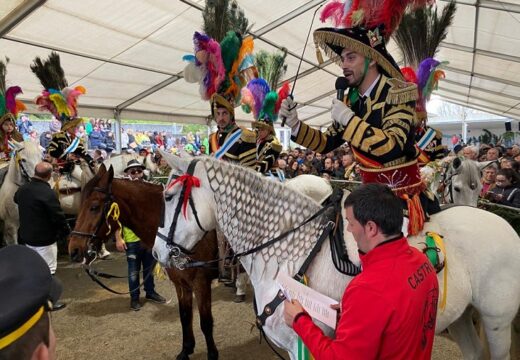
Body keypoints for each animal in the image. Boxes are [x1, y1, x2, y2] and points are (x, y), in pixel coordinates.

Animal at [68, 165, 219, 360]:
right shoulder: (181, 283)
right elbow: (185, 316)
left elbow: (206, 322)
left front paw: (212, 354)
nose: (74, 250)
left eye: (94, 207)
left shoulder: (201, 282)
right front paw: (186, 350)